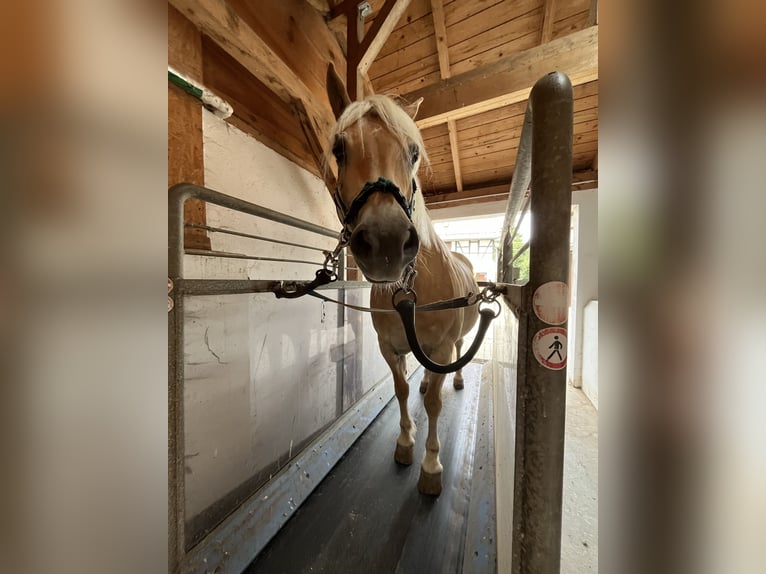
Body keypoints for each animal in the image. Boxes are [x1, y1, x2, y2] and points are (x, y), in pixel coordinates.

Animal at [324, 75, 479, 496]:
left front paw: (431, 464)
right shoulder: (390, 348)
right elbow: (403, 392)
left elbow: (435, 406)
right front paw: (407, 443)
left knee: (457, 356)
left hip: (455, 342)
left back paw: (456, 380)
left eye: (413, 153)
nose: (386, 242)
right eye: (339, 148)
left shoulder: (440, 348)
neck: (412, 290)